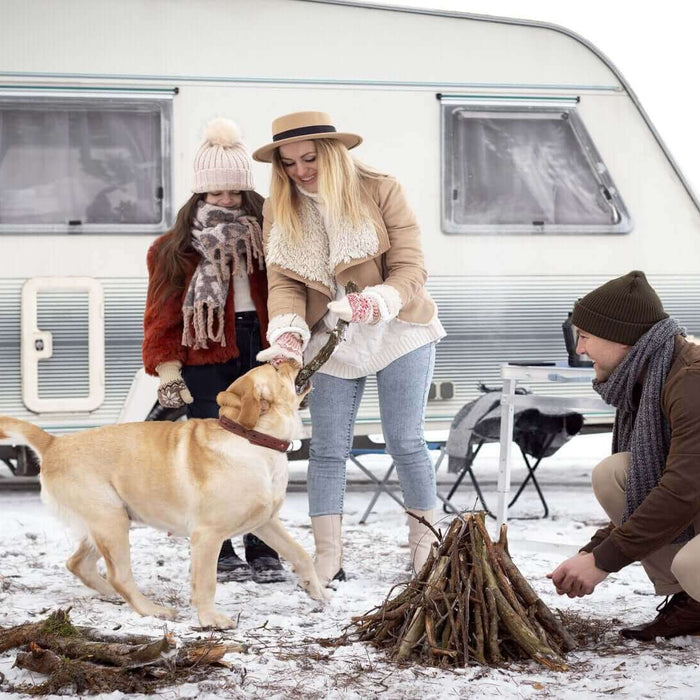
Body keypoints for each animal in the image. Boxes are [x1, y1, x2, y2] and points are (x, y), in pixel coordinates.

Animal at [0, 360, 326, 628]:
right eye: (276, 367)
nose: (294, 357)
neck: (253, 439)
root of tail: (54, 443)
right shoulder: (207, 536)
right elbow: (206, 583)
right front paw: (210, 619)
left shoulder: (265, 522)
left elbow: (300, 553)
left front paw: (317, 590)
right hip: (110, 521)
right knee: (119, 576)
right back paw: (152, 609)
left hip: (108, 521)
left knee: (78, 563)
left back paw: (111, 595)